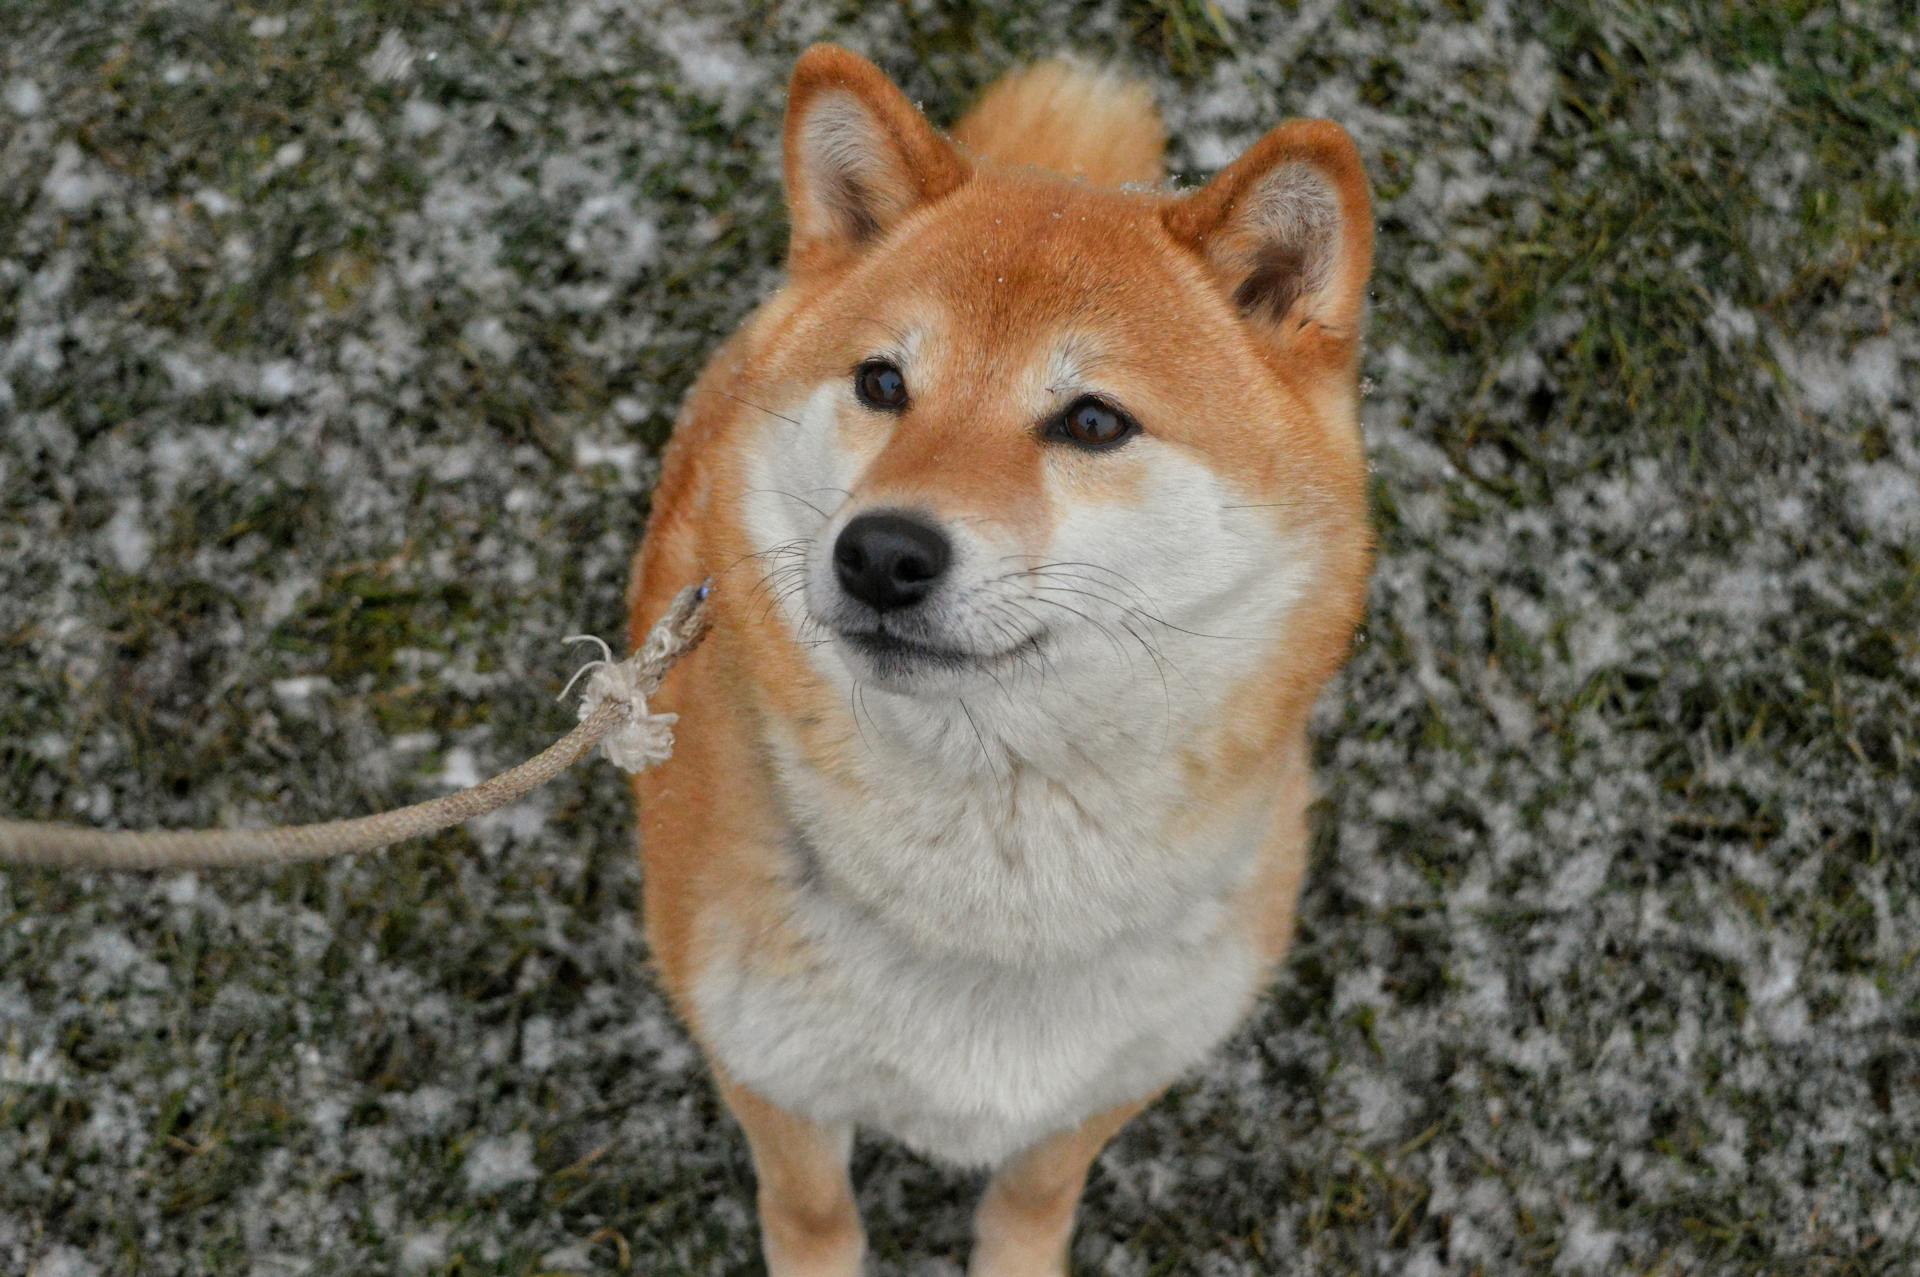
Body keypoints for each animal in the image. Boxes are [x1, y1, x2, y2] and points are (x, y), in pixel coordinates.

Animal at [637, 44, 1374, 1267]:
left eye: (1092, 421)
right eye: (883, 383)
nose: (882, 554)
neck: (992, 907)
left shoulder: (1109, 1080)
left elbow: (1035, 1192)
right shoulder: (772, 1075)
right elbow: (813, 1212)